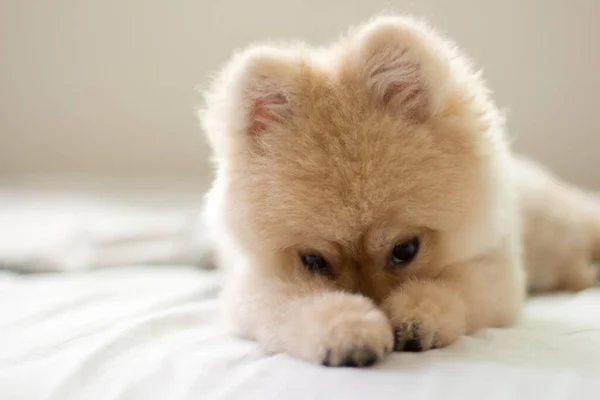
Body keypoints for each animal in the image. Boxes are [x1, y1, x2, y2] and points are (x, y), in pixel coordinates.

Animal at [198, 15, 600, 368]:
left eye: (405, 249)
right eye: (314, 261)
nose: (374, 300)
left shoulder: (495, 270)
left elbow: (453, 286)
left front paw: (417, 316)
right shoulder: (255, 286)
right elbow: (296, 303)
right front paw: (349, 329)